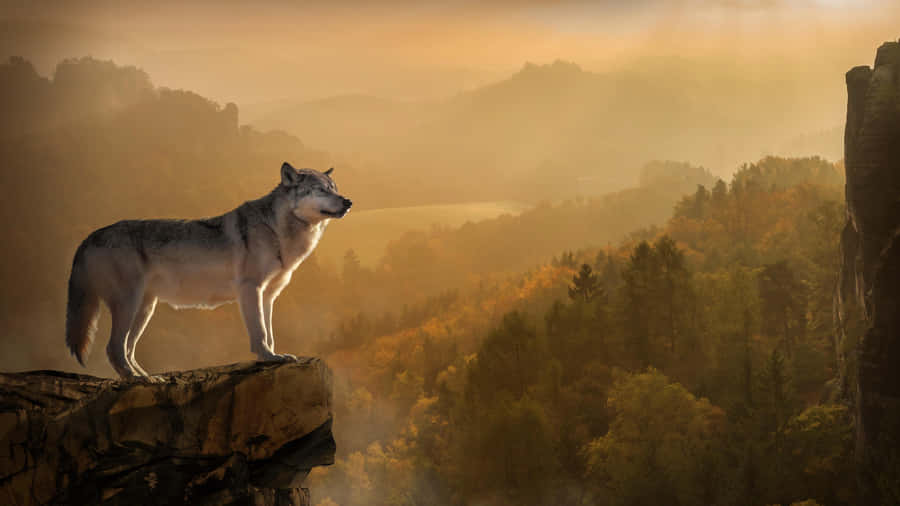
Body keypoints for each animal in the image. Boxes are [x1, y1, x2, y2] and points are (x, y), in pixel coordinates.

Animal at [65, 162, 351, 381]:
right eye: (321, 190)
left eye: (335, 189)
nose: (348, 201)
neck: (277, 230)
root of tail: (89, 237)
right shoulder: (250, 289)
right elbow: (259, 332)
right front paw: (268, 357)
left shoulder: (268, 296)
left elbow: (270, 333)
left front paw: (274, 356)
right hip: (129, 304)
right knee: (114, 348)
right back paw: (138, 380)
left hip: (145, 309)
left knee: (127, 349)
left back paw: (146, 377)